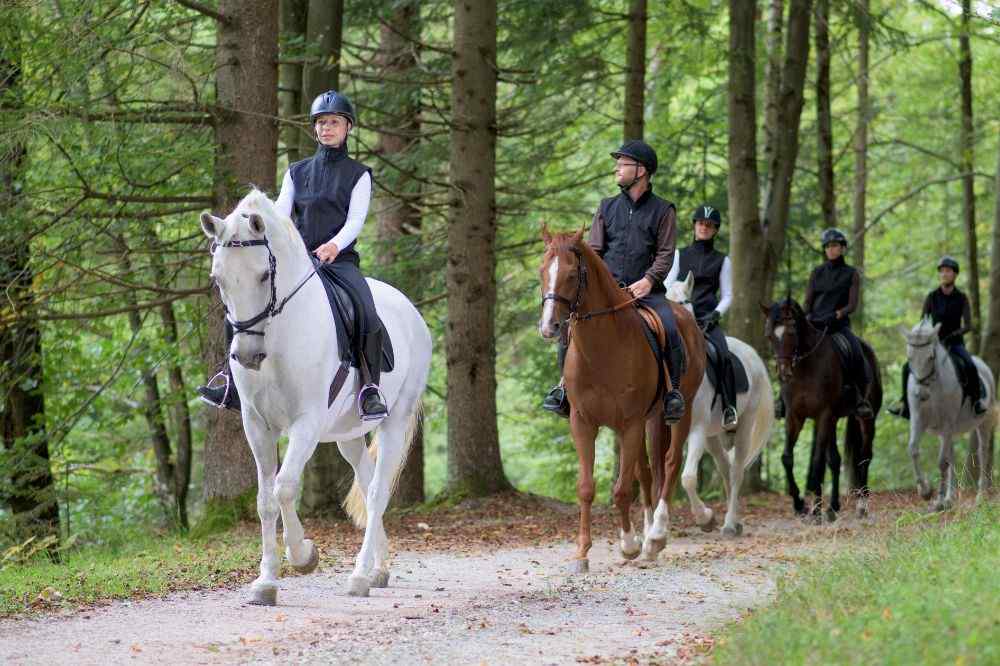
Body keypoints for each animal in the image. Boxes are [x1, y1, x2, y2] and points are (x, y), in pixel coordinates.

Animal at [201, 188, 432, 600]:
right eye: (218, 278)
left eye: (264, 275)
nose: (247, 355)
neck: (278, 336)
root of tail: (410, 311)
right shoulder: (256, 425)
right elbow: (264, 500)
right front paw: (265, 582)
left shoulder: (305, 423)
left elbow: (285, 488)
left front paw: (304, 555)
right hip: (348, 435)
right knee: (367, 481)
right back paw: (379, 570)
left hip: (395, 420)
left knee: (378, 491)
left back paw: (359, 576)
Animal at [540, 228, 704, 572]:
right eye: (542, 271)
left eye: (571, 274)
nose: (549, 327)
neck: (602, 349)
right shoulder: (583, 423)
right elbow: (587, 488)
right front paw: (582, 553)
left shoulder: (629, 424)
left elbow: (622, 489)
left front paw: (629, 545)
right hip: (649, 420)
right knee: (648, 469)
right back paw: (649, 534)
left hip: (679, 412)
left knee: (670, 463)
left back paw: (656, 535)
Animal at [668, 272, 776, 536]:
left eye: (685, 302)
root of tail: (753, 355)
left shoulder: (696, 429)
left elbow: (688, 478)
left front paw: (705, 518)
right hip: (713, 436)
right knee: (726, 468)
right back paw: (735, 520)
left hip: (744, 426)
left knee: (736, 471)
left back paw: (728, 524)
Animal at [760, 298, 880, 520]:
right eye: (769, 335)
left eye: (792, 332)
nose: (784, 374)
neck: (805, 367)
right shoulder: (795, 416)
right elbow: (787, 458)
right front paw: (800, 505)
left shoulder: (823, 415)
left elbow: (817, 462)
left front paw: (815, 511)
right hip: (833, 420)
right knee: (835, 460)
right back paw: (833, 507)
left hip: (867, 419)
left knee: (864, 457)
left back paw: (861, 506)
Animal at [904, 318, 996, 508]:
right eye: (910, 357)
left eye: (931, 357)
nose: (920, 394)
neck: (933, 387)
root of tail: (983, 365)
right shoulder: (918, 421)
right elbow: (913, 449)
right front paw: (925, 492)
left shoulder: (947, 424)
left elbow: (941, 462)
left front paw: (938, 500)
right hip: (948, 431)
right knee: (951, 456)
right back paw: (950, 497)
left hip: (983, 423)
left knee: (982, 453)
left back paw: (980, 496)